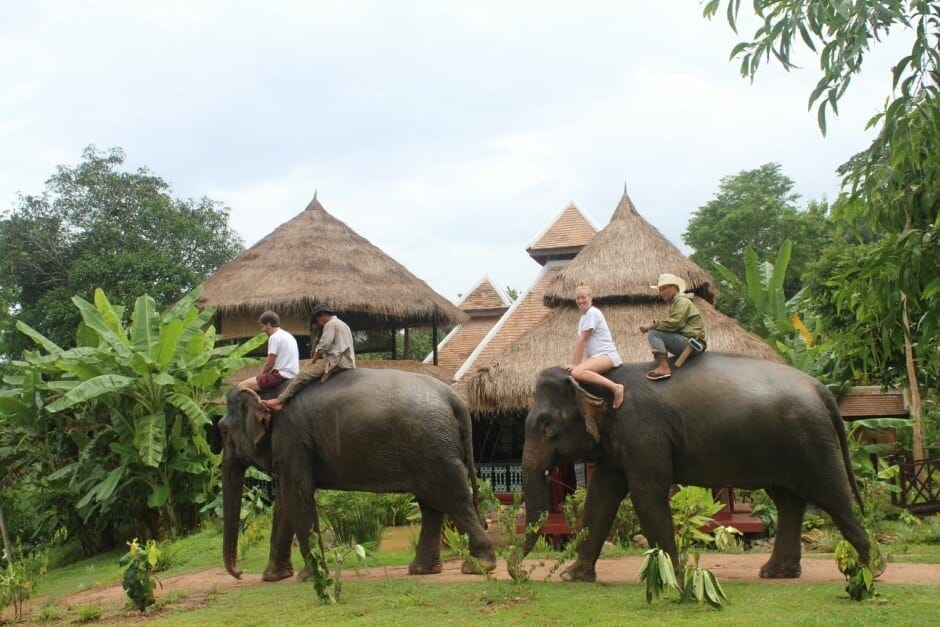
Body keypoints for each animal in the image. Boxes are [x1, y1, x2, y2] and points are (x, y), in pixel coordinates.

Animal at [219, 367, 497, 581]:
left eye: (222, 429)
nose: (239, 573)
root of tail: (454, 397)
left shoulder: (293, 439)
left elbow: (298, 495)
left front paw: (312, 577)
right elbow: (285, 501)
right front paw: (275, 577)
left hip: (433, 448)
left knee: (452, 498)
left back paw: (478, 567)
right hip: (428, 450)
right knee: (432, 504)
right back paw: (422, 570)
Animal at [515, 352, 870, 582]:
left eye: (548, 426)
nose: (518, 573)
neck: (603, 381)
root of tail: (819, 387)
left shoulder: (643, 432)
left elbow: (647, 495)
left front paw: (673, 576)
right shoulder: (617, 445)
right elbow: (601, 497)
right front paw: (572, 576)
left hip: (810, 440)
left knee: (831, 496)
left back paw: (869, 568)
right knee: (787, 501)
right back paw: (777, 573)